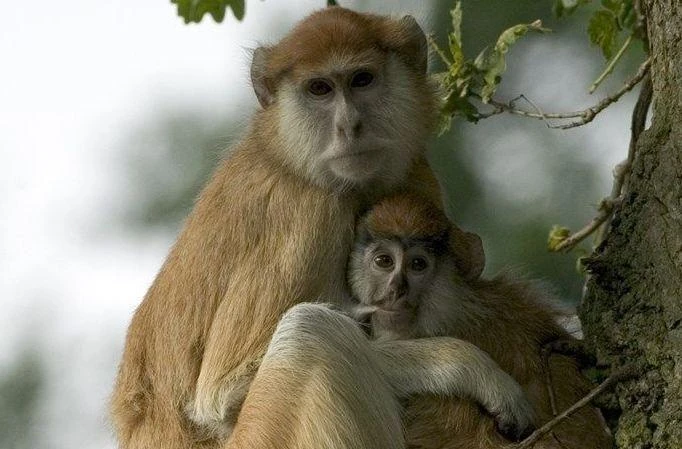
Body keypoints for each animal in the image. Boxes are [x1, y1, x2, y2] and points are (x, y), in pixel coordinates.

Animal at [110, 7, 535, 449]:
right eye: (320, 89)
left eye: (362, 79)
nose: (349, 126)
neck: (288, 156)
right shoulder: (309, 215)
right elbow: (221, 397)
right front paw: (470, 368)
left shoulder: (414, 172)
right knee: (310, 334)